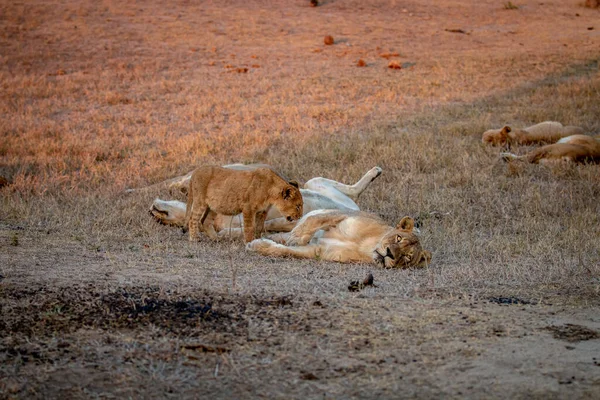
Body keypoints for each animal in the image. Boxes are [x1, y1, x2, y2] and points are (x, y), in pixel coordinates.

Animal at [245, 209, 432, 268]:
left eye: (406, 257)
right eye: (398, 238)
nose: (389, 254)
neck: (367, 247)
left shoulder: (319, 251)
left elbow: (286, 251)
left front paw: (259, 246)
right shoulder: (343, 214)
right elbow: (315, 221)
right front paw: (297, 237)